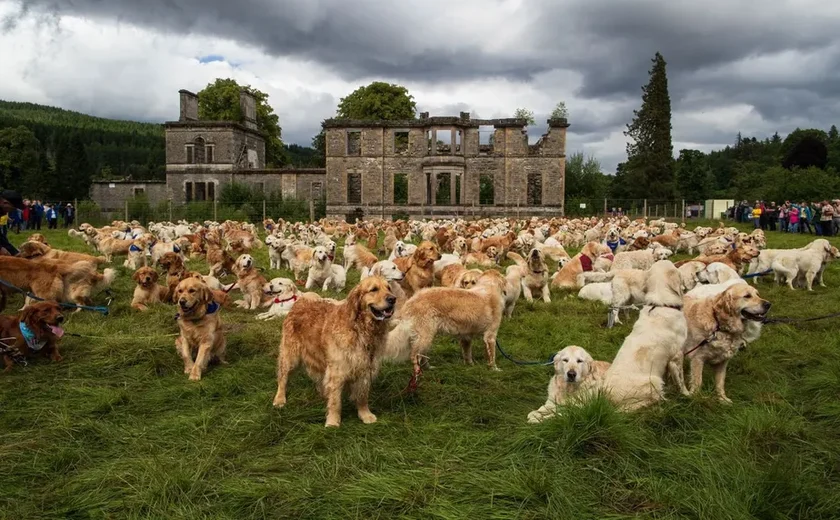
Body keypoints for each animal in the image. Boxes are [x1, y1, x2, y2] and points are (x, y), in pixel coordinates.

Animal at [272, 276, 398, 426]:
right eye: (374, 289)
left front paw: (365, 414)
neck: (361, 328)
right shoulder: (338, 370)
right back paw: (279, 399)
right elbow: (335, 401)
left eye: (389, 288)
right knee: (282, 378)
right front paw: (332, 422)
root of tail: (300, 301)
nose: (393, 299)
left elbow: (362, 396)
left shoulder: (365, 369)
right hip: (290, 356)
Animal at [592, 262, 688, 412]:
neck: (661, 304)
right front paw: (688, 394)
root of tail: (606, 398)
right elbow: (681, 380)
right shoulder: (677, 356)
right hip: (653, 381)